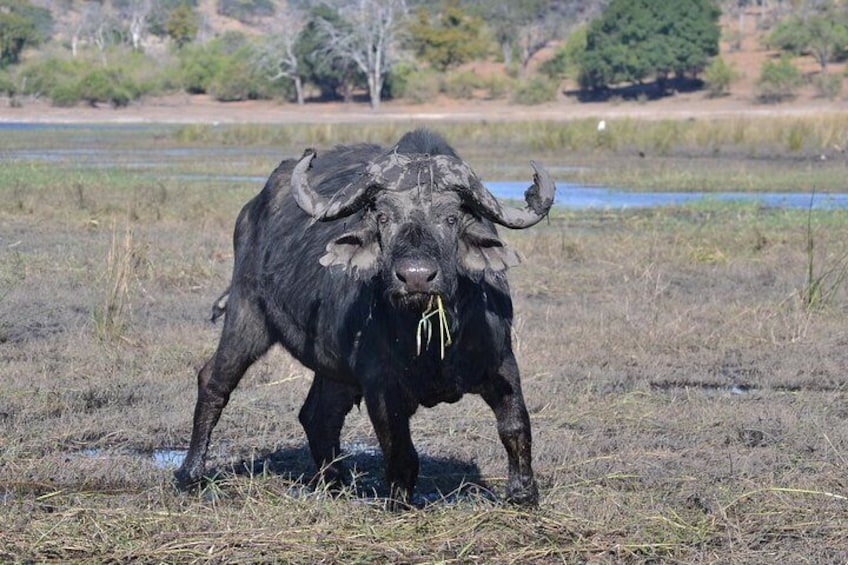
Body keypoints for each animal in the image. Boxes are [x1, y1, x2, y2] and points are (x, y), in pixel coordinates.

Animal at [176, 129, 552, 506]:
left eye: (450, 218)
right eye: (383, 217)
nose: (416, 276)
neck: (429, 340)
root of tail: (251, 210)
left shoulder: (502, 362)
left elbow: (516, 428)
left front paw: (523, 494)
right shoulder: (379, 385)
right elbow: (400, 451)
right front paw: (400, 500)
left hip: (334, 366)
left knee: (318, 415)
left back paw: (334, 481)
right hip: (247, 314)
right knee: (214, 382)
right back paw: (190, 474)